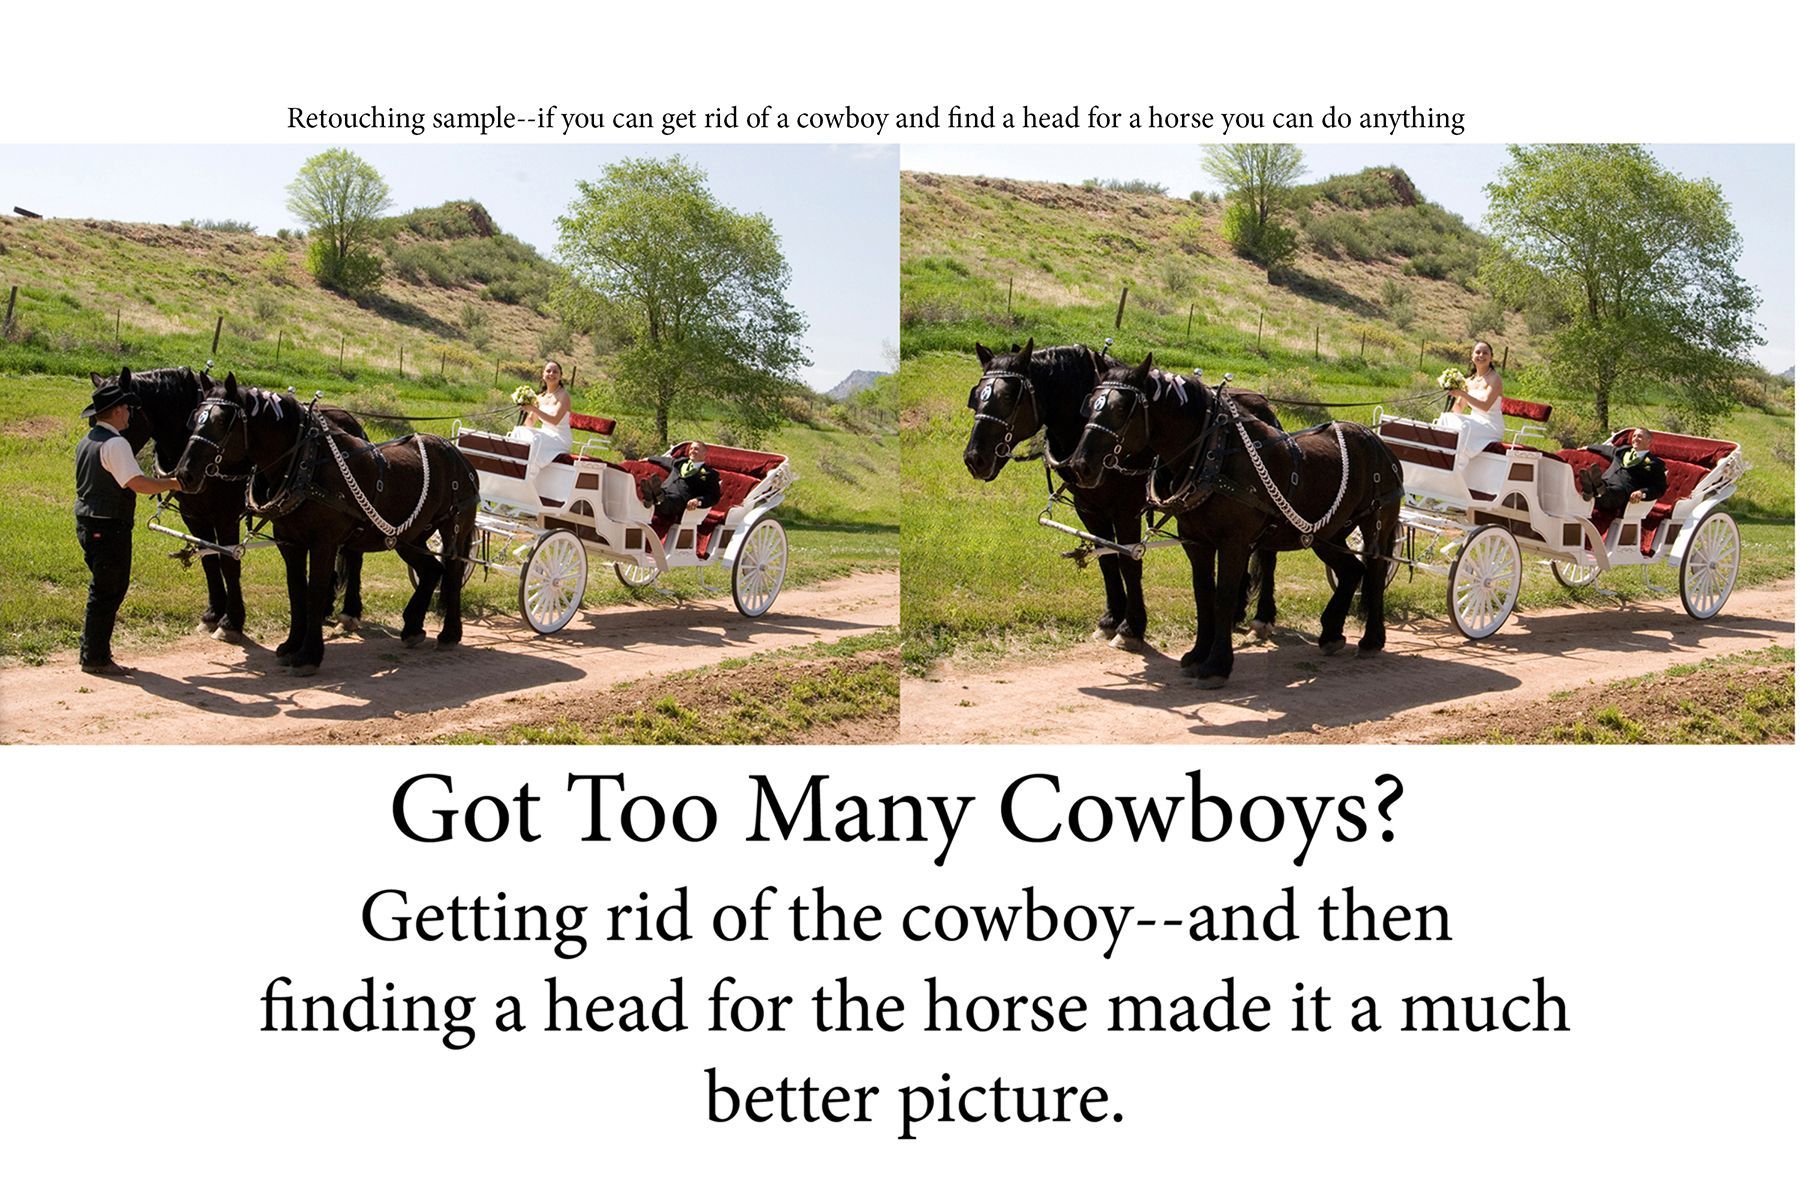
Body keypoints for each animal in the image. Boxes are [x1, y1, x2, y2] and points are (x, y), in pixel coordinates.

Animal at [90, 366, 368, 639]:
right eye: (94, 419)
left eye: (119, 418)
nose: (98, 461)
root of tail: (350, 420)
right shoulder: (193, 516)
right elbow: (209, 560)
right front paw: (212, 614)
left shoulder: (225, 517)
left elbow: (229, 563)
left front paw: (230, 621)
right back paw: (325, 608)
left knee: (354, 555)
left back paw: (349, 613)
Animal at [171, 372, 479, 675]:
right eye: (194, 417)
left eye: (222, 422)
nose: (185, 473)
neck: (306, 464)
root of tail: (458, 455)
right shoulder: (289, 542)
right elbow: (296, 591)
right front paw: (291, 645)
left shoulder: (324, 543)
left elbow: (316, 591)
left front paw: (309, 654)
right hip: (409, 536)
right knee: (432, 570)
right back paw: (413, 627)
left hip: (454, 528)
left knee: (452, 572)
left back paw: (449, 633)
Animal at [960, 339, 1281, 646]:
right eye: (977, 397)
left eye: (1007, 397)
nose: (974, 458)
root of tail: (1263, 405)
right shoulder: (1089, 509)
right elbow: (1107, 560)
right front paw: (1110, 619)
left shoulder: (1127, 512)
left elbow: (1128, 563)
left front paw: (1131, 628)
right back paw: (1236, 612)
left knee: (1267, 554)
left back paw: (1261, 618)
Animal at [1066, 354, 1402, 688]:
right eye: (1090, 403)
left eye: (1122, 409)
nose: (1080, 465)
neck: (1214, 455)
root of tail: (1379, 444)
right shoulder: (1196, 542)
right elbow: (1203, 595)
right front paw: (1198, 654)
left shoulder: (1234, 543)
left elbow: (1224, 597)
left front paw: (1217, 664)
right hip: (1327, 534)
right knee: (1351, 571)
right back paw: (1331, 632)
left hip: (1377, 524)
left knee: (1374, 572)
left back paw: (1371, 640)